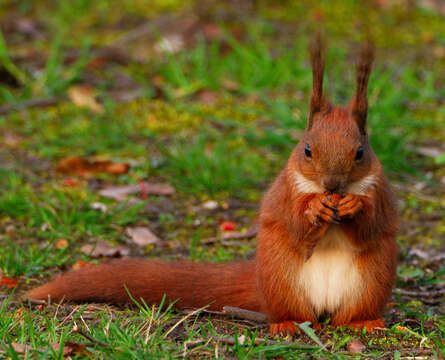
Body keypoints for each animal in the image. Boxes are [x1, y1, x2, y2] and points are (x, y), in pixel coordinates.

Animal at [26, 36, 398, 334]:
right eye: (307, 150)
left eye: (360, 152)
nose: (333, 184)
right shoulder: (285, 191)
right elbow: (294, 221)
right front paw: (314, 208)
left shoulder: (380, 192)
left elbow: (371, 223)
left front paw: (353, 205)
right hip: (282, 278)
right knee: (291, 311)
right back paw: (289, 324)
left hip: (372, 279)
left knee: (349, 314)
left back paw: (363, 322)